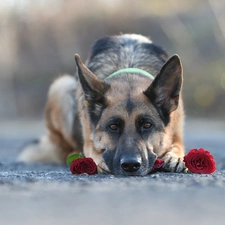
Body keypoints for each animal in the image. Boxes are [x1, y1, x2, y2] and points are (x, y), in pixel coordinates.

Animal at [18, 33, 185, 176]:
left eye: (147, 125)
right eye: (113, 127)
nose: (131, 165)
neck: (128, 66)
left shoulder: (175, 131)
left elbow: (178, 145)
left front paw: (175, 156)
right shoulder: (88, 137)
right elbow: (92, 149)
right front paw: (98, 160)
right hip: (60, 87)